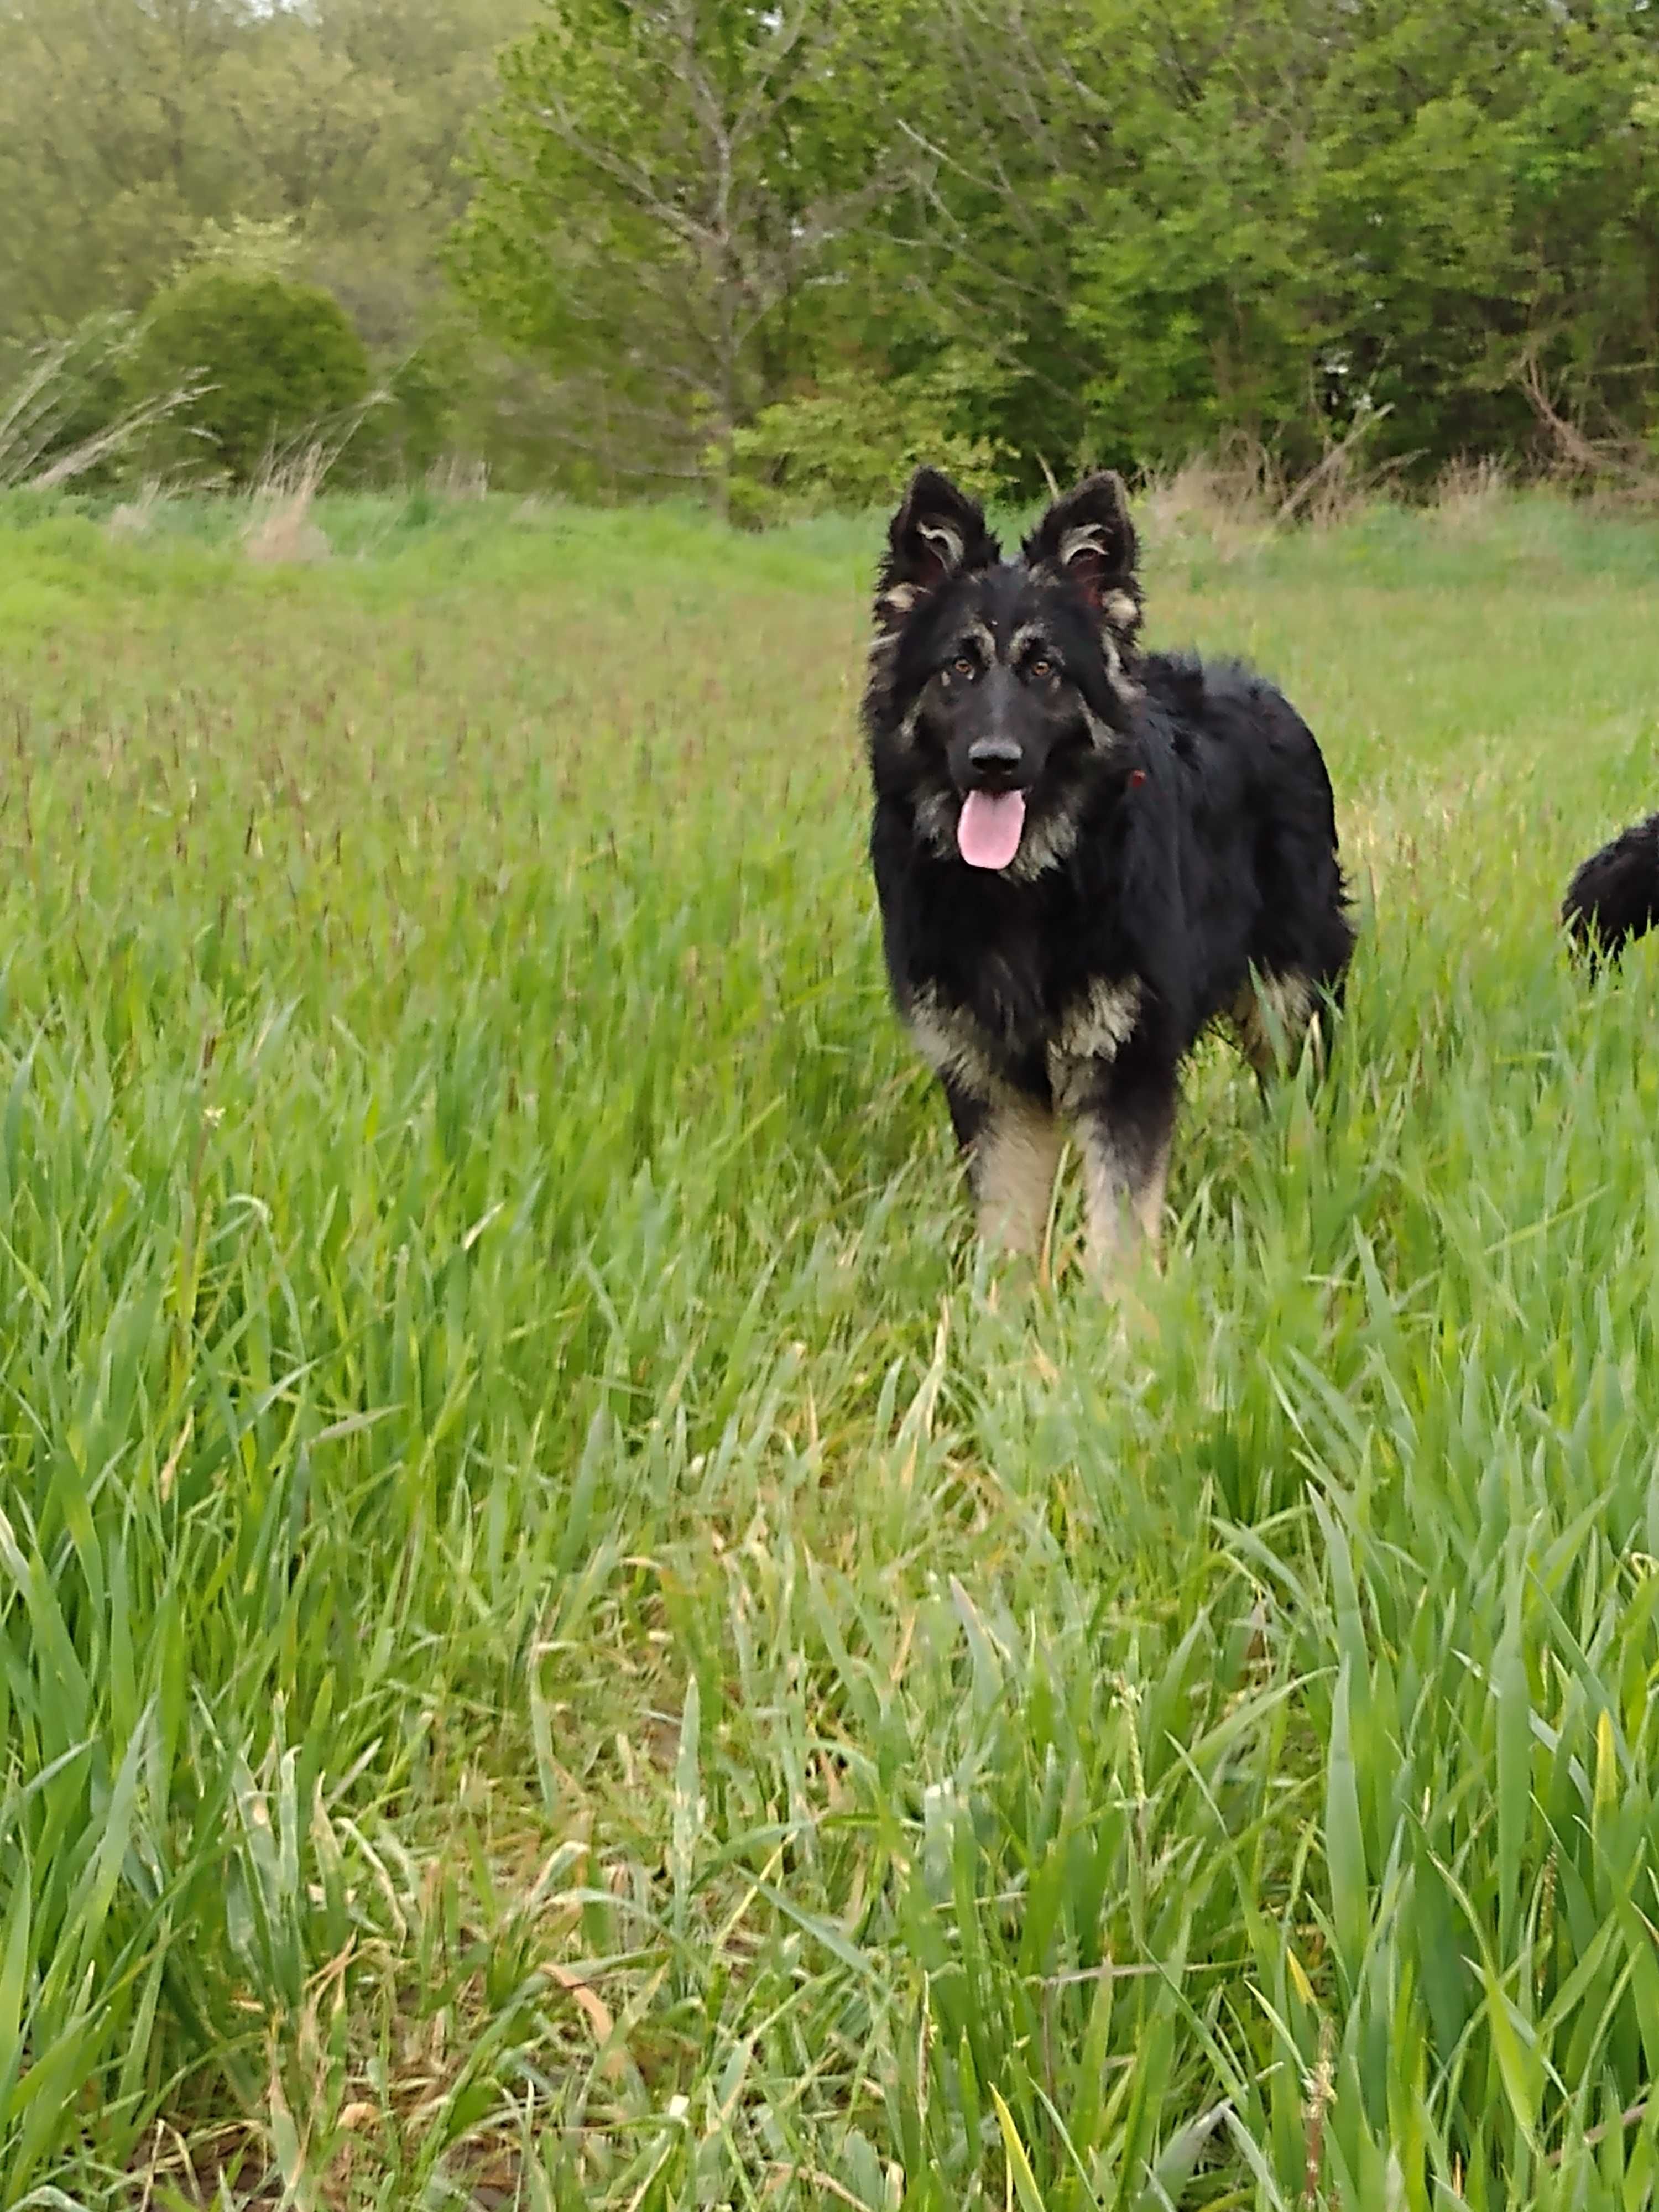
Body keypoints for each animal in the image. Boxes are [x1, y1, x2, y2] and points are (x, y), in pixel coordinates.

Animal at [863, 467, 1354, 1283]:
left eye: (1043, 669)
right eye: (960, 666)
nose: (993, 762)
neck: (1025, 888)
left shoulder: (1125, 1068)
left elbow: (1121, 1235)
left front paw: (1120, 1320)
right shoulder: (991, 1082)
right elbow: (1005, 1230)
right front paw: (999, 1316)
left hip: (1287, 1003)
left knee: (1297, 1102)